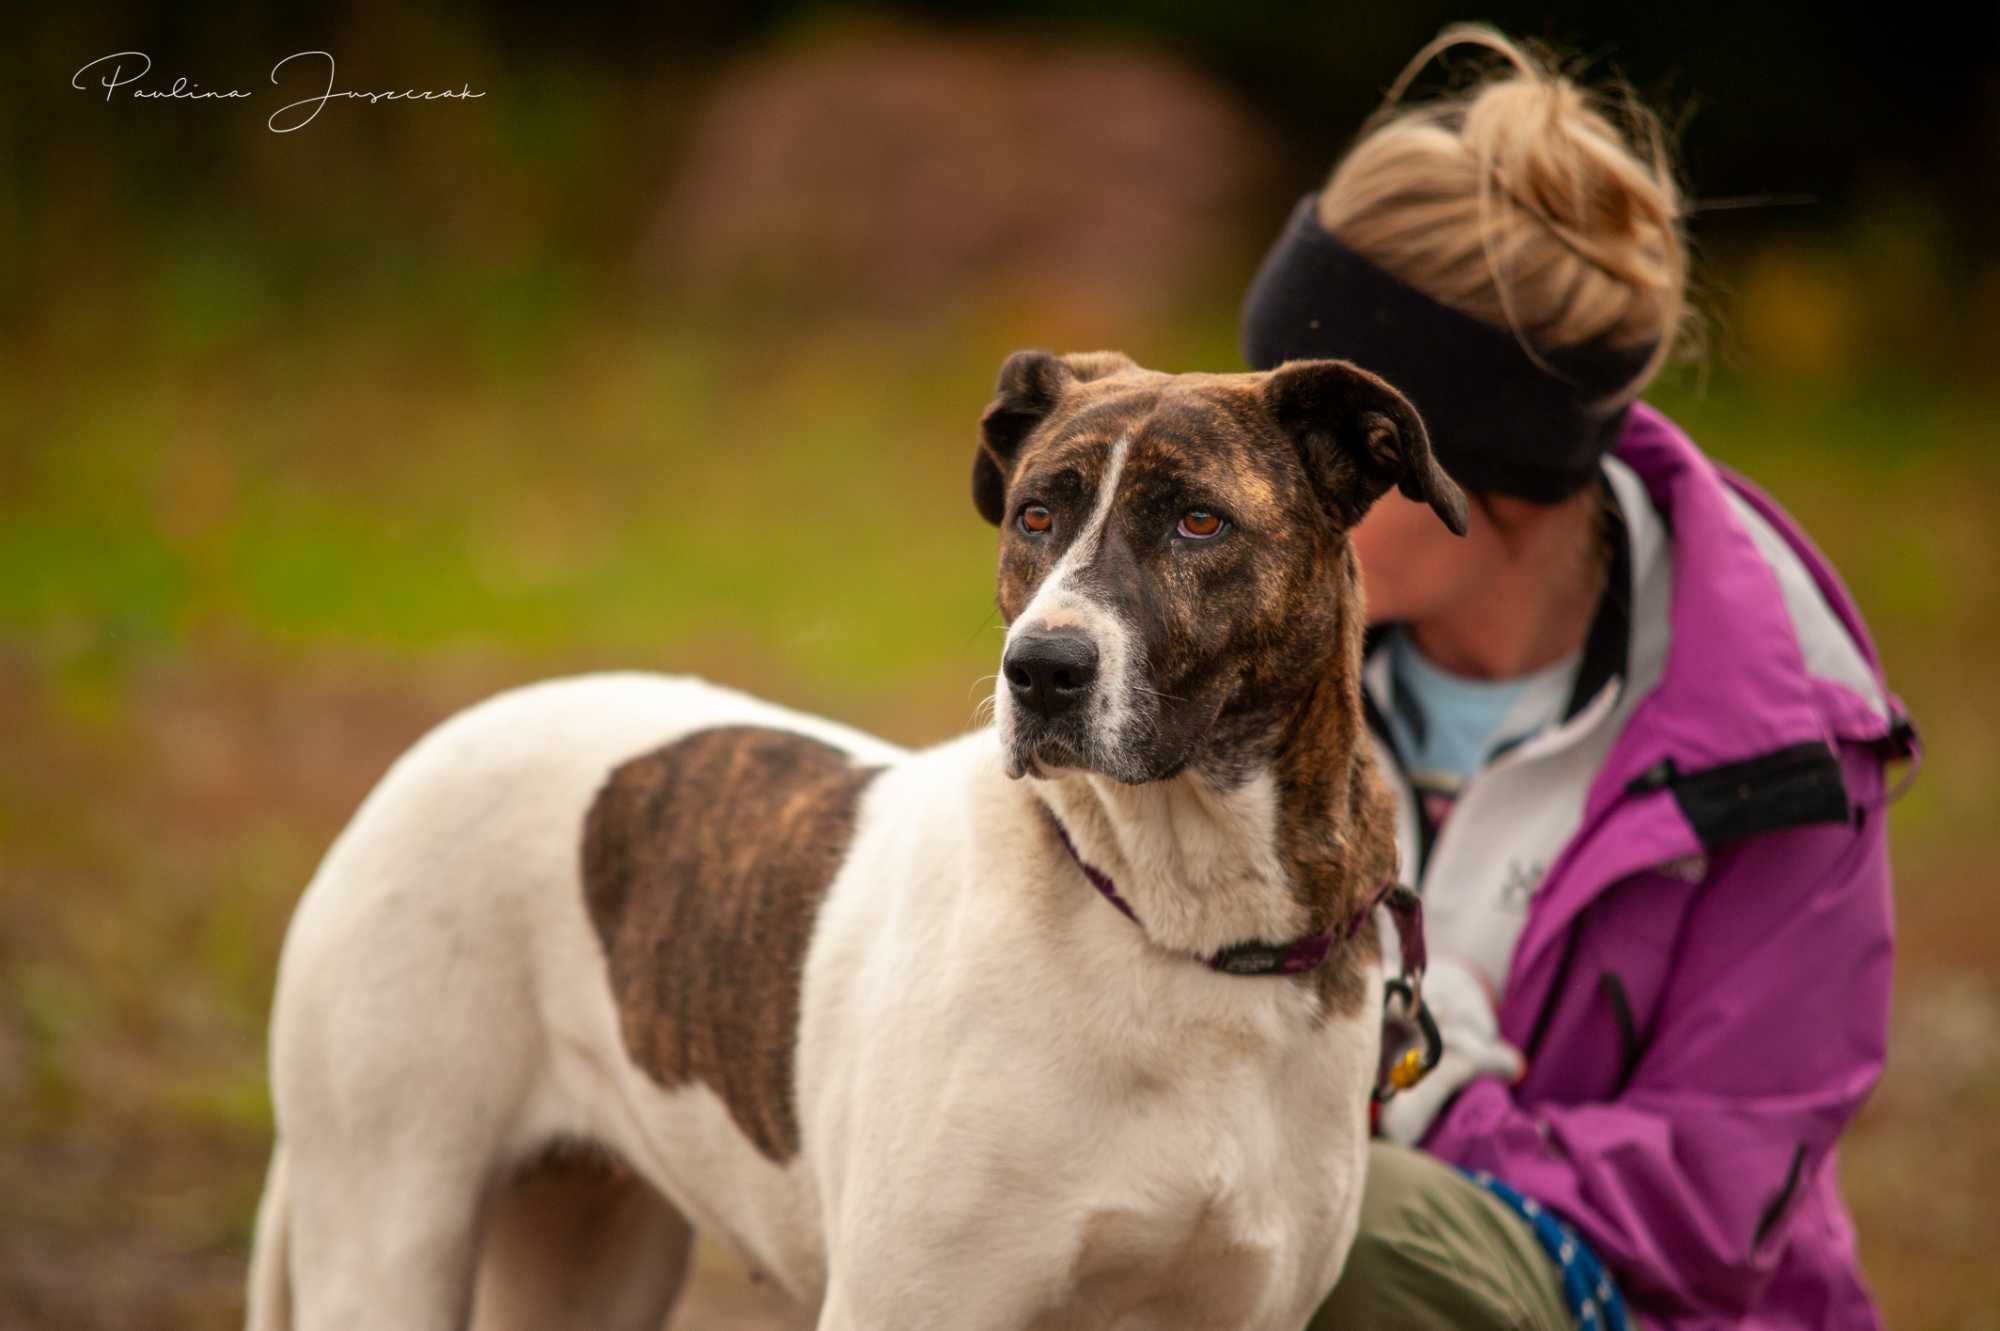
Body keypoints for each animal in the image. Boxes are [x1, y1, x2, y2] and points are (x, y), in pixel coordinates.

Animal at [250, 349, 1472, 1327]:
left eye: (1199, 521)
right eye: (1035, 515)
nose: (1039, 669)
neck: (1175, 916)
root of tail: (430, 743)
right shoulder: (913, 1300)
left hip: (585, 1244)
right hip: (386, 1229)